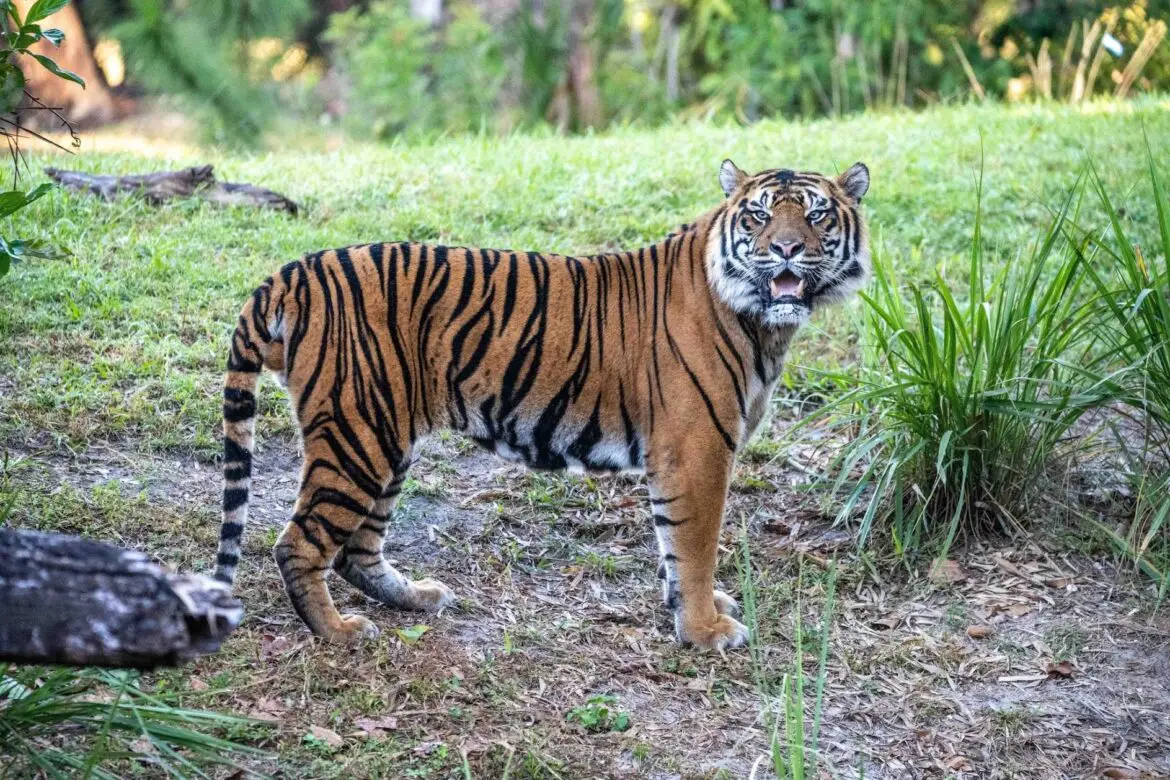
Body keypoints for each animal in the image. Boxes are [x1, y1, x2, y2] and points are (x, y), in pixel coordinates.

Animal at [215, 155, 870, 650]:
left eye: (815, 214)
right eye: (759, 216)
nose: (786, 249)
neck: (764, 325)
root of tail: (291, 273)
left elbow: (671, 541)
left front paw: (693, 607)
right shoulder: (698, 448)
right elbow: (695, 543)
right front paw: (705, 629)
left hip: (385, 435)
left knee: (357, 546)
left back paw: (417, 598)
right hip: (358, 433)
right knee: (299, 542)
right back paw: (339, 632)